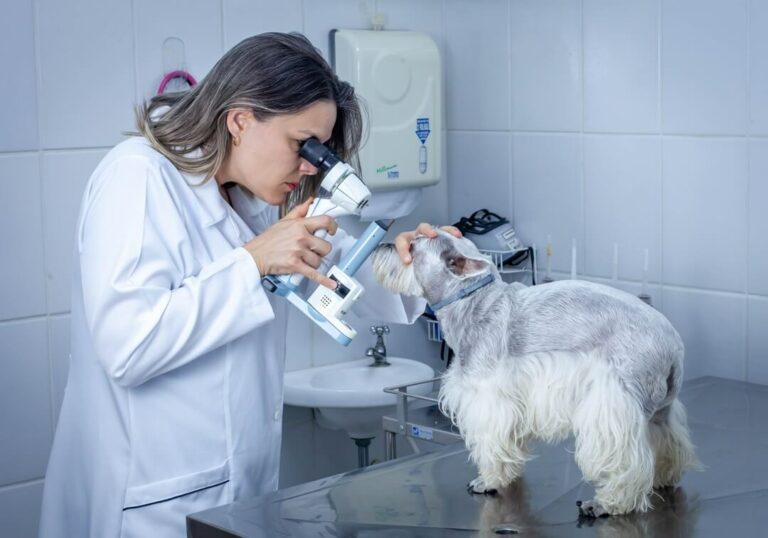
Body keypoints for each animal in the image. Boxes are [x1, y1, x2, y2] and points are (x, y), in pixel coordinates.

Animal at [372, 230, 704, 516]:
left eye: (412, 245)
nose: (384, 244)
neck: (471, 301)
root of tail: (673, 346)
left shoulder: (488, 399)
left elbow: (490, 444)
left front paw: (488, 480)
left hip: (615, 405)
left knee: (628, 463)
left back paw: (608, 503)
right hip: (659, 411)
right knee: (667, 441)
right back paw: (664, 476)